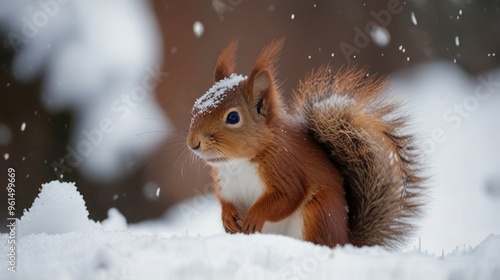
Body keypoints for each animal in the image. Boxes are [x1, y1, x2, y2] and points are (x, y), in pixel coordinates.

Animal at [188, 38, 426, 247]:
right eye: (196, 107)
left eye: (233, 117)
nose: (193, 143)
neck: (238, 162)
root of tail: (345, 241)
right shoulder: (224, 183)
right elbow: (224, 201)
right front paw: (227, 217)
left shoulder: (286, 168)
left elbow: (287, 196)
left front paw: (254, 216)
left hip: (317, 214)